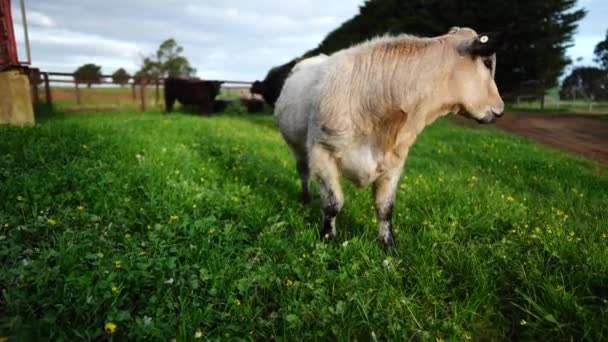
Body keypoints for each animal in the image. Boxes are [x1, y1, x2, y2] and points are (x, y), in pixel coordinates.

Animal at [274, 26, 504, 246]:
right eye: (486, 62)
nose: (501, 110)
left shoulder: (394, 162)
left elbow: (385, 208)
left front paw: (387, 244)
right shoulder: (322, 152)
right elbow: (333, 203)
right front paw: (328, 237)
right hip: (297, 146)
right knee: (303, 172)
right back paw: (305, 197)